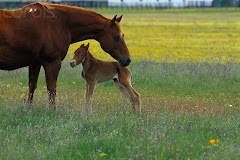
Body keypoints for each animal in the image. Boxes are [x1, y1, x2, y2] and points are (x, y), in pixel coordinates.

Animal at [0, 2, 131, 109]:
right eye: (116, 37)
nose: (127, 60)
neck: (58, 22)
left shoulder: (35, 63)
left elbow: (32, 87)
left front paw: (29, 109)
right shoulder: (52, 63)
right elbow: (51, 90)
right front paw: (52, 111)